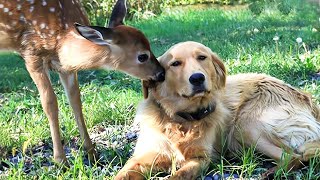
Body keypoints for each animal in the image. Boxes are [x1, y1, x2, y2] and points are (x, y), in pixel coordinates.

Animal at [0, 0, 165, 164]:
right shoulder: (31, 55)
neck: (61, 39)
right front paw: (61, 161)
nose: (161, 73)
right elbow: (50, 104)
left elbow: (76, 102)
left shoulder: (65, 67)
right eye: (142, 56)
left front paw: (92, 153)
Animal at [115, 41, 320, 179]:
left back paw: (270, 173)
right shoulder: (141, 158)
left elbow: (179, 175)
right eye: (175, 64)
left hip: (244, 125)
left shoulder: (201, 159)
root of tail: (306, 98)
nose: (197, 78)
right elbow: (122, 174)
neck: (180, 120)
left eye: (202, 57)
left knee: (294, 156)